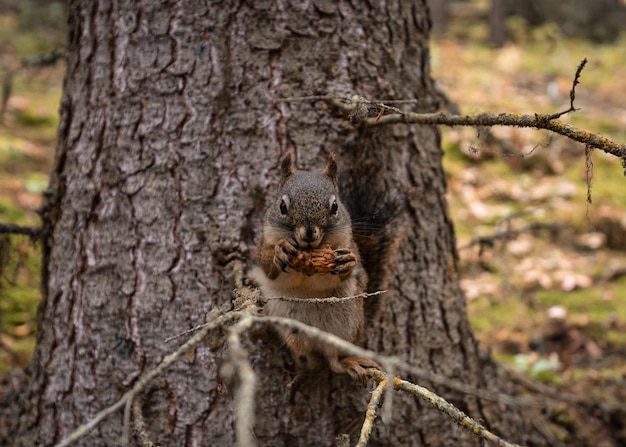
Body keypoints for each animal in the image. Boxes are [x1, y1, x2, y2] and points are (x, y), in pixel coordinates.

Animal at [247, 150, 398, 382]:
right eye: (282, 206)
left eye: (335, 207)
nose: (309, 232)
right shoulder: (263, 246)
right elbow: (268, 266)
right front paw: (281, 250)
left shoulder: (348, 244)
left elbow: (356, 270)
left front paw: (347, 262)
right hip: (293, 331)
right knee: (310, 357)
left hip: (348, 326)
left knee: (333, 361)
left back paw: (348, 362)